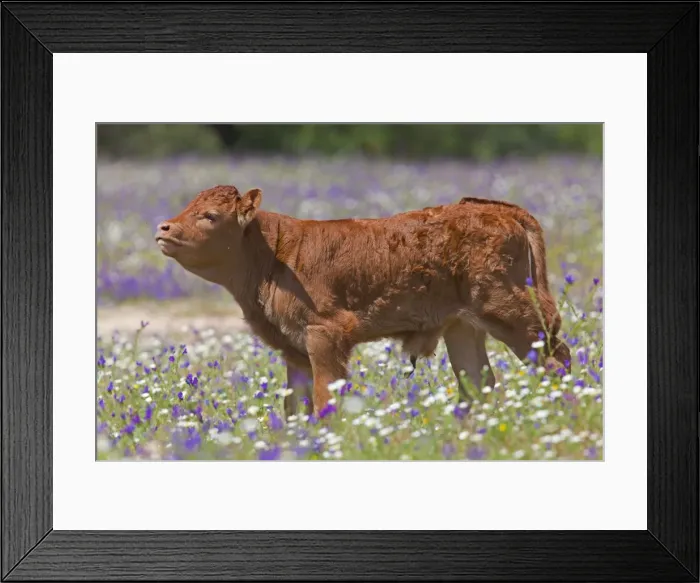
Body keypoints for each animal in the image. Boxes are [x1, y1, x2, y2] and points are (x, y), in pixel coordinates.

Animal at [155, 185, 571, 419]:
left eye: (209, 215)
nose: (164, 227)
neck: (271, 253)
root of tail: (498, 210)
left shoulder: (325, 337)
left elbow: (325, 398)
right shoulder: (295, 350)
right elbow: (295, 407)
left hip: (515, 317)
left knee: (557, 360)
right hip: (464, 328)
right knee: (478, 382)